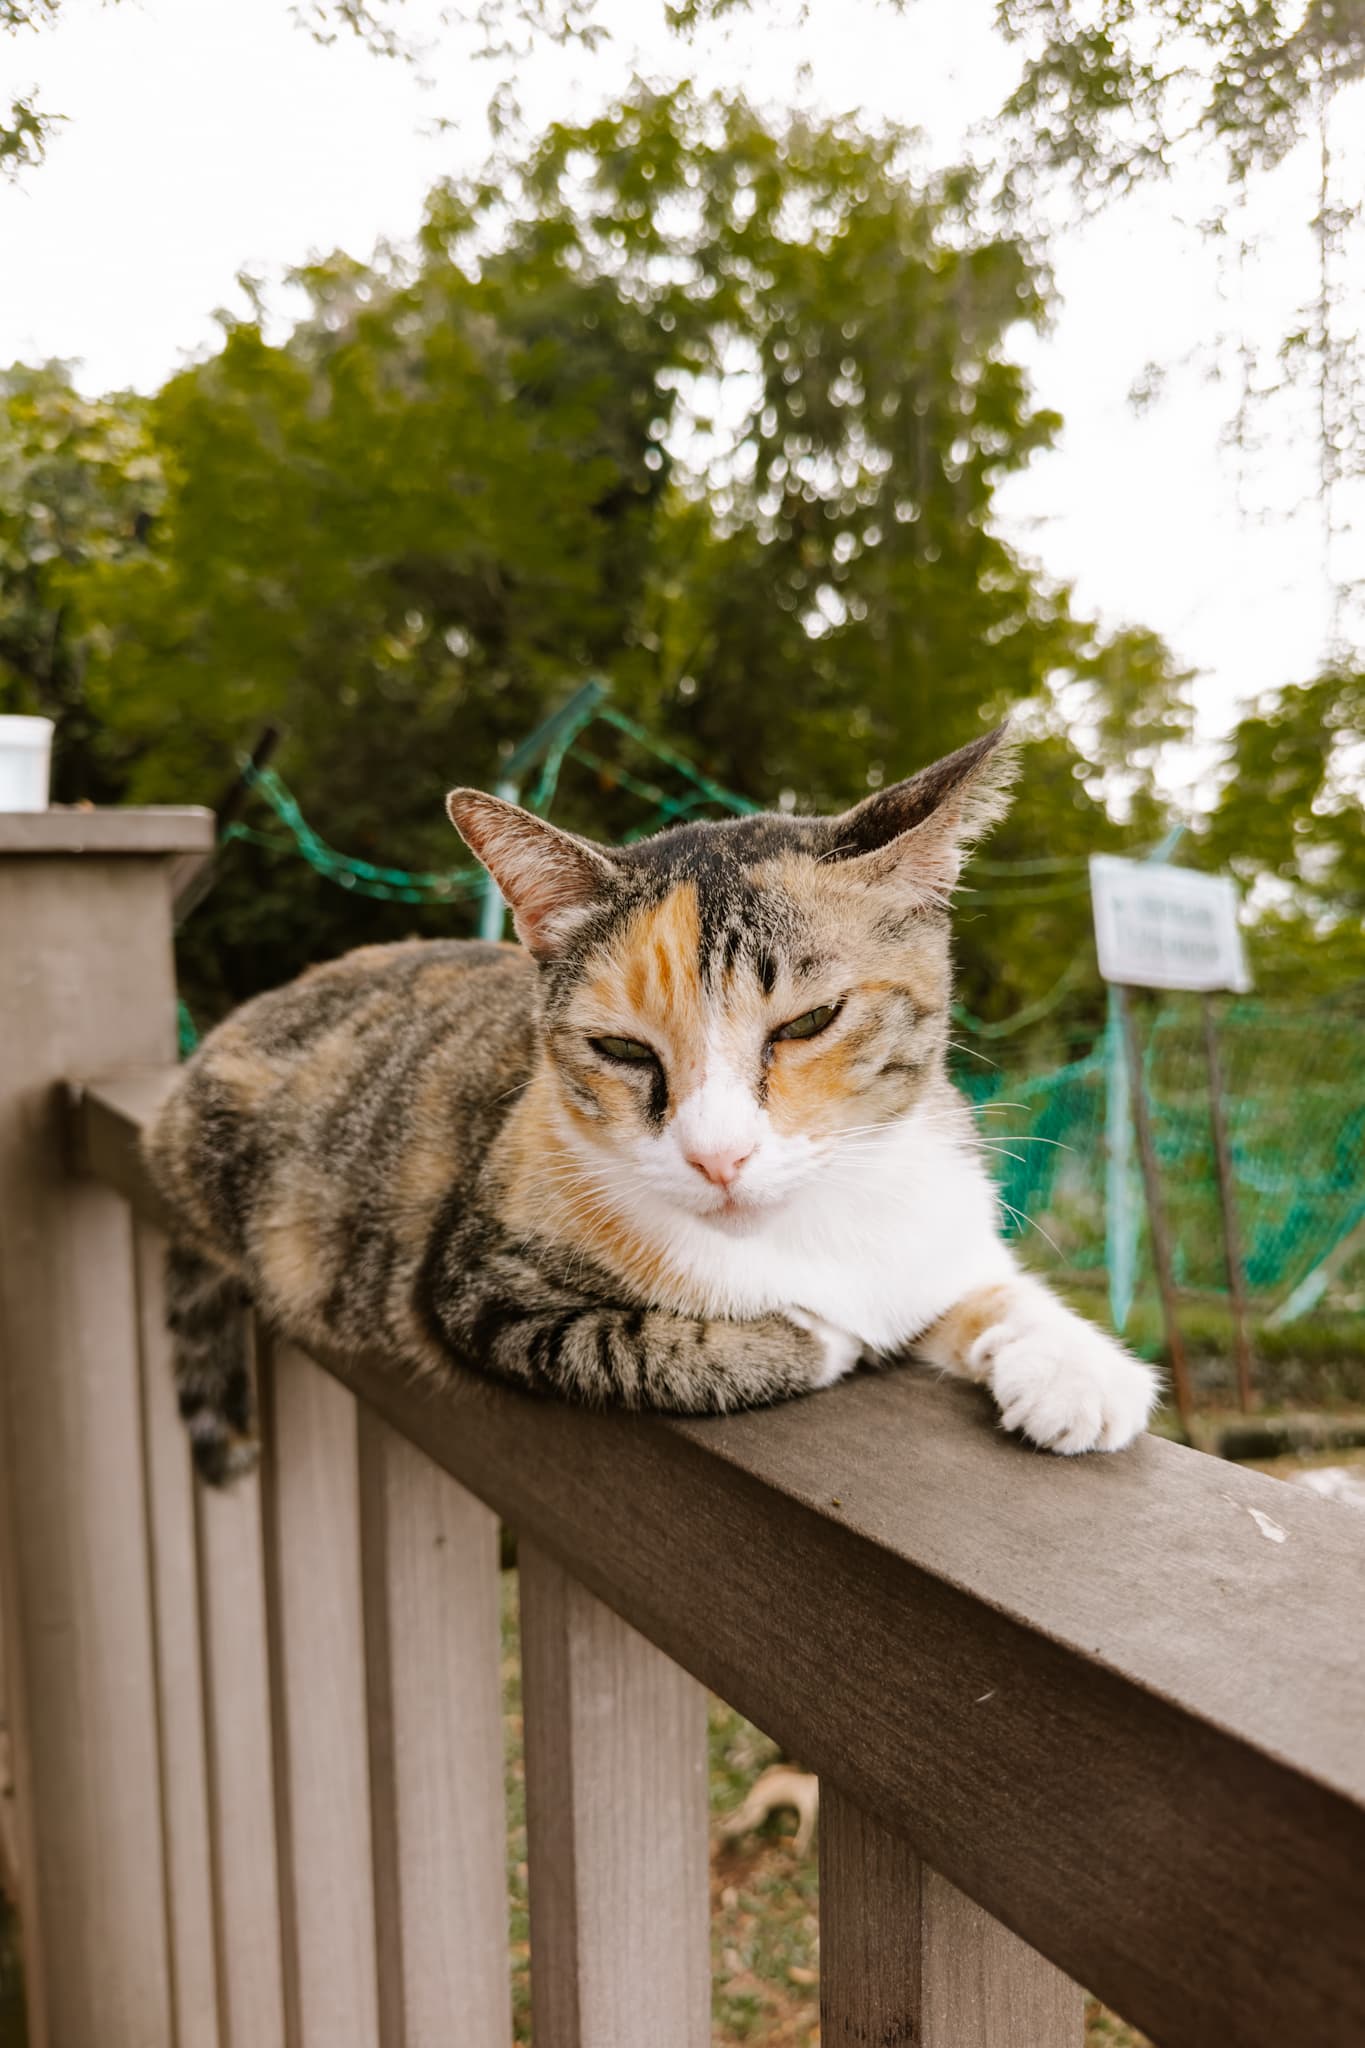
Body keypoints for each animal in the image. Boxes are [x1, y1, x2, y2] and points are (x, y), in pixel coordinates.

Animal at [144, 729, 1162, 1482]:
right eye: (624, 1050)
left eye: (810, 1020)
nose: (718, 1157)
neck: (805, 1231)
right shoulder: (476, 1292)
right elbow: (651, 1347)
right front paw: (824, 1336)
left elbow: (973, 1282)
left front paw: (1074, 1367)